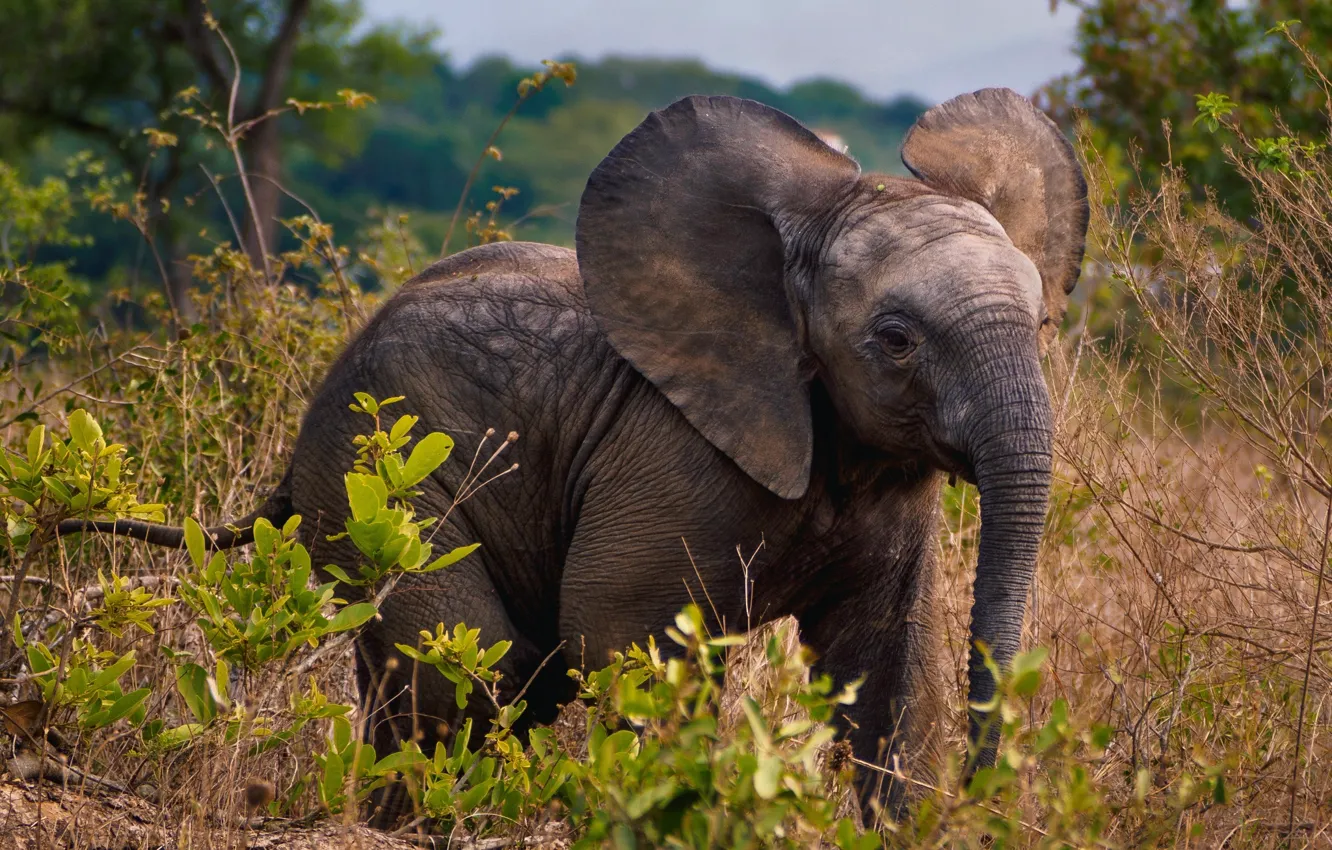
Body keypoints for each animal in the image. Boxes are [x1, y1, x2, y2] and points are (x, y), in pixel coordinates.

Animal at [61, 87, 1088, 812]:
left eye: (1042, 322)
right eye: (896, 340)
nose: (991, 795)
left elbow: (889, 671)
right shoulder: (671, 455)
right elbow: (627, 639)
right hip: (369, 480)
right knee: (475, 667)